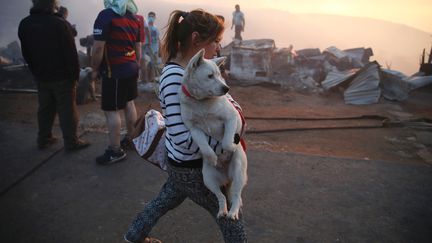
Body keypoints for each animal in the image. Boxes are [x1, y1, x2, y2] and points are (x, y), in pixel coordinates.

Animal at [178, 49, 246, 220]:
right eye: (210, 76)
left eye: (219, 75)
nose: (226, 88)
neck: (202, 102)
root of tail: (227, 177)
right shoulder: (193, 129)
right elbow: (204, 145)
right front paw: (212, 158)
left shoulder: (232, 117)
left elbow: (227, 141)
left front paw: (231, 147)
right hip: (208, 178)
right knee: (221, 196)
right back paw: (222, 211)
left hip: (238, 172)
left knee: (236, 196)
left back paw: (233, 212)